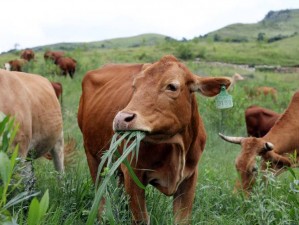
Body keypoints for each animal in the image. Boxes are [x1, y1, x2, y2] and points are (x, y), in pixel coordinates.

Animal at [78, 55, 232, 225]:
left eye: (171, 86)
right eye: (135, 86)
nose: (121, 119)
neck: (176, 147)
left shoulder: (190, 178)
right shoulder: (133, 175)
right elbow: (141, 219)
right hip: (93, 157)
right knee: (101, 198)